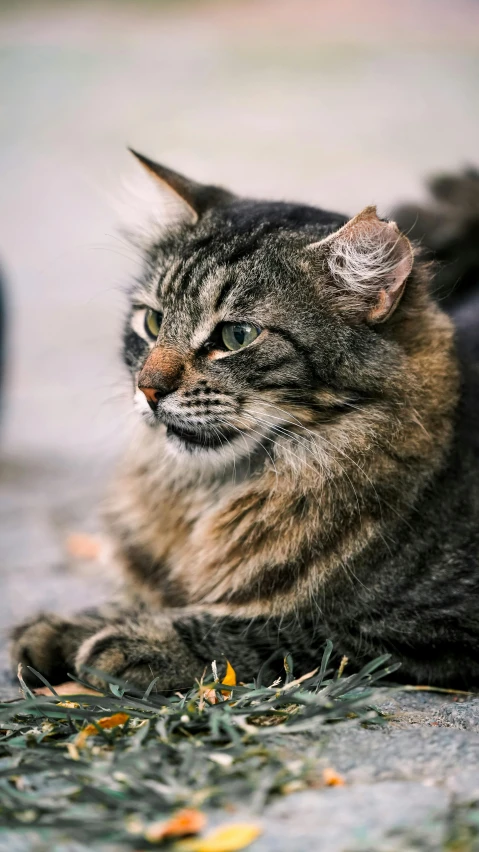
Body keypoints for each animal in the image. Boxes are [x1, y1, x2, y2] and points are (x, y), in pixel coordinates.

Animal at [10, 153, 479, 692]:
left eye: (236, 336)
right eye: (152, 322)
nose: (148, 389)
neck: (216, 493)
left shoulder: (424, 626)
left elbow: (278, 627)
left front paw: (141, 640)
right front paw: (67, 625)